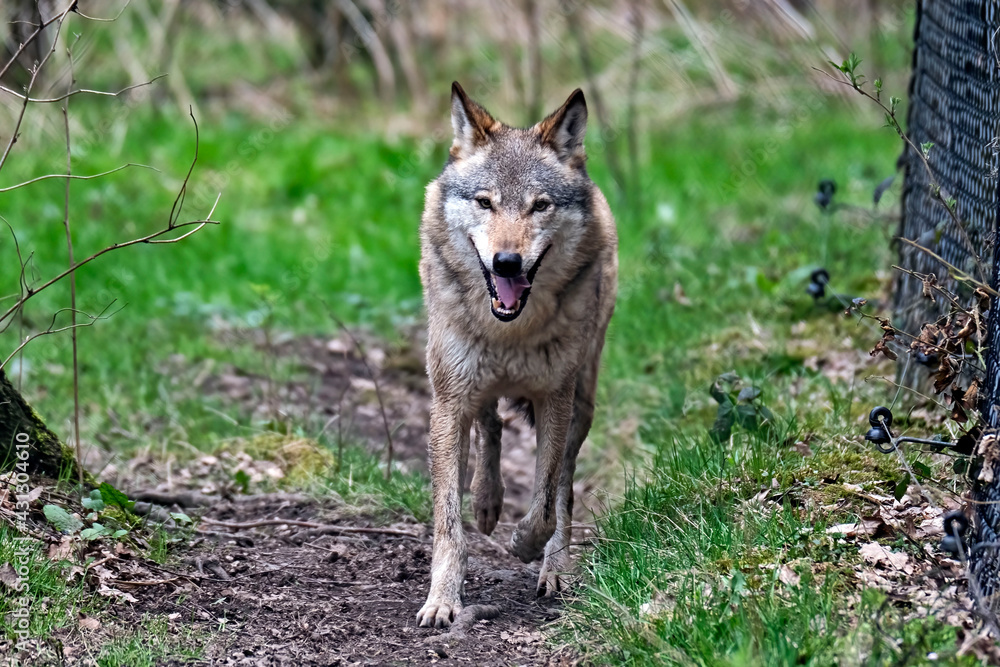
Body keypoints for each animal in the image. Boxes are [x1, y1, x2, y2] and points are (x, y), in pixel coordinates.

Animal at [414, 81, 616, 628]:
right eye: (485, 202)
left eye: (540, 206)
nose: (507, 262)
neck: (509, 332)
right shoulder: (447, 402)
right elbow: (448, 523)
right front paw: (442, 601)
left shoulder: (555, 401)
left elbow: (546, 499)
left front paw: (526, 545)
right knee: (491, 423)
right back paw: (487, 502)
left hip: (583, 402)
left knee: (564, 486)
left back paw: (554, 569)